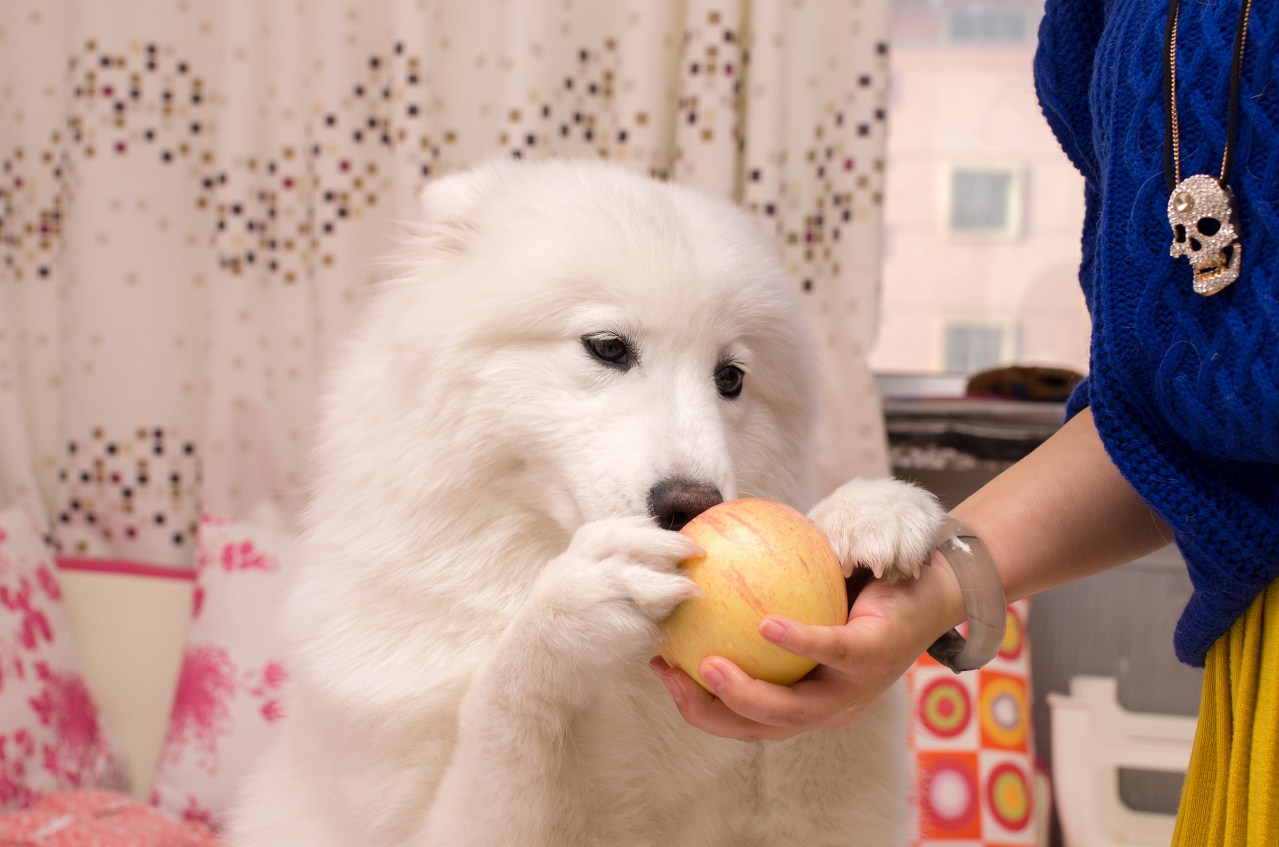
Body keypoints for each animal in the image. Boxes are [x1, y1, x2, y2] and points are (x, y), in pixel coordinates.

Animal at [230, 159, 946, 847]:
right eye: (608, 346)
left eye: (731, 377)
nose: (692, 503)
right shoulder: (413, 809)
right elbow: (500, 707)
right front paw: (576, 600)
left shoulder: (803, 812)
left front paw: (864, 517)